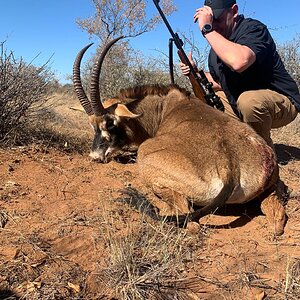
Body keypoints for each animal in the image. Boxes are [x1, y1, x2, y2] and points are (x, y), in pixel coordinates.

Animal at [72, 37, 286, 234]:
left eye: (110, 123)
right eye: (92, 125)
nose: (95, 156)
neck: (163, 106)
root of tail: (231, 167)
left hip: (148, 158)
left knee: (188, 220)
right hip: (270, 188)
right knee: (277, 217)